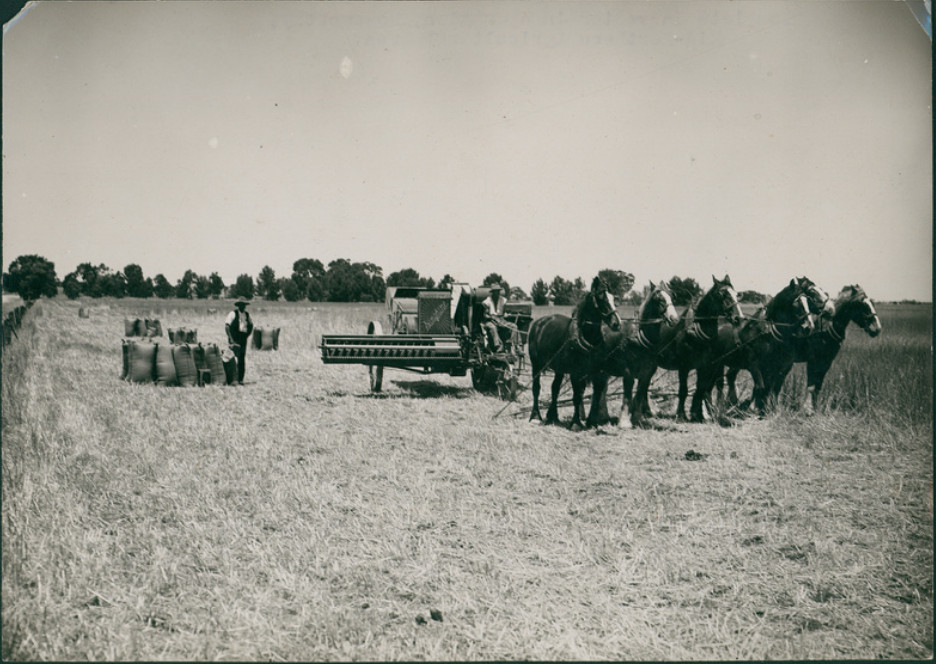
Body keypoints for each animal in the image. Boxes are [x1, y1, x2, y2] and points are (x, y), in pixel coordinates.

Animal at [528, 276, 620, 428]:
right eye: (601, 297)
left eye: (614, 298)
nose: (617, 323)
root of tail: (538, 323)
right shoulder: (575, 372)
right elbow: (576, 396)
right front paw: (576, 422)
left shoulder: (592, 371)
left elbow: (590, 394)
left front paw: (590, 421)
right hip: (537, 364)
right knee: (536, 388)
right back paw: (535, 416)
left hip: (559, 368)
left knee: (555, 389)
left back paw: (553, 416)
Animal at [720, 284, 880, 416]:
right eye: (862, 304)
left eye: (872, 303)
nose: (877, 328)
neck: (825, 330)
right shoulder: (813, 361)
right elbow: (811, 386)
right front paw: (807, 409)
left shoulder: (825, 362)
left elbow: (817, 386)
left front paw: (814, 409)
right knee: (734, 376)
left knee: (732, 376)